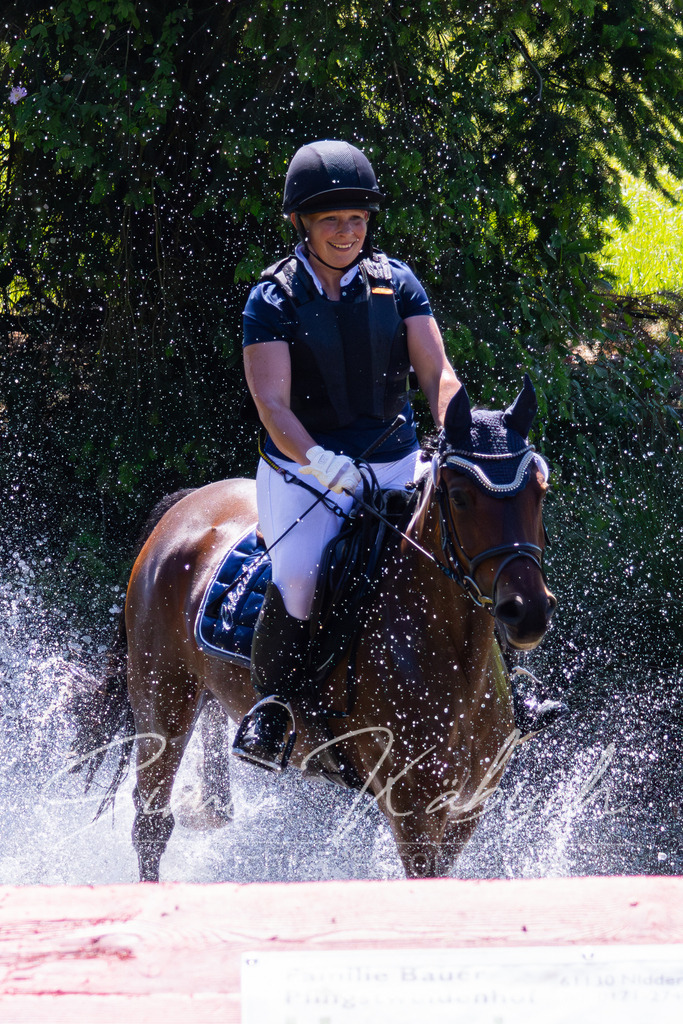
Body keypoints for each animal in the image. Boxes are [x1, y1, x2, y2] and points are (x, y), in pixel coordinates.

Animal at [75, 376, 556, 881]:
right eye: (460, 497)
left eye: (540, 492)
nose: (527, 612)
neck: (449, 653)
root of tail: (183, 507)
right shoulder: (415, 811)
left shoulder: (467, 808)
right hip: (163, 695)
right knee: (152, 825)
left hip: (206, 688)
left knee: (210, 799)